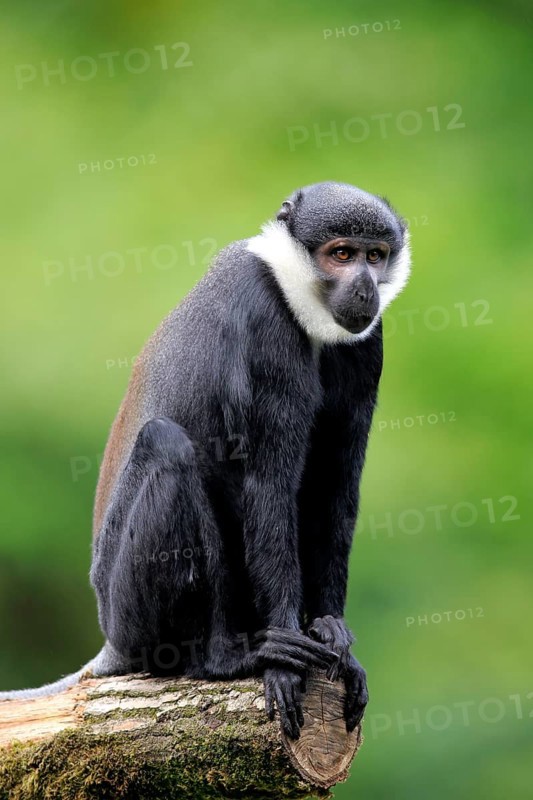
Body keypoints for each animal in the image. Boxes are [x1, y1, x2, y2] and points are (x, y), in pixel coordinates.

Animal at [0, 182, 411, 740]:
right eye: (342, 254)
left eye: (376, 255)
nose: (366, 288)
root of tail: (110, 641)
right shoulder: (264, 323)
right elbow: (266, 486)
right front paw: (283, 664)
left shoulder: (368, 343)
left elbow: (334, 490)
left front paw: (331, 631)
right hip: (127, 607)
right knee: (165, 444)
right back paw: (222, 658)